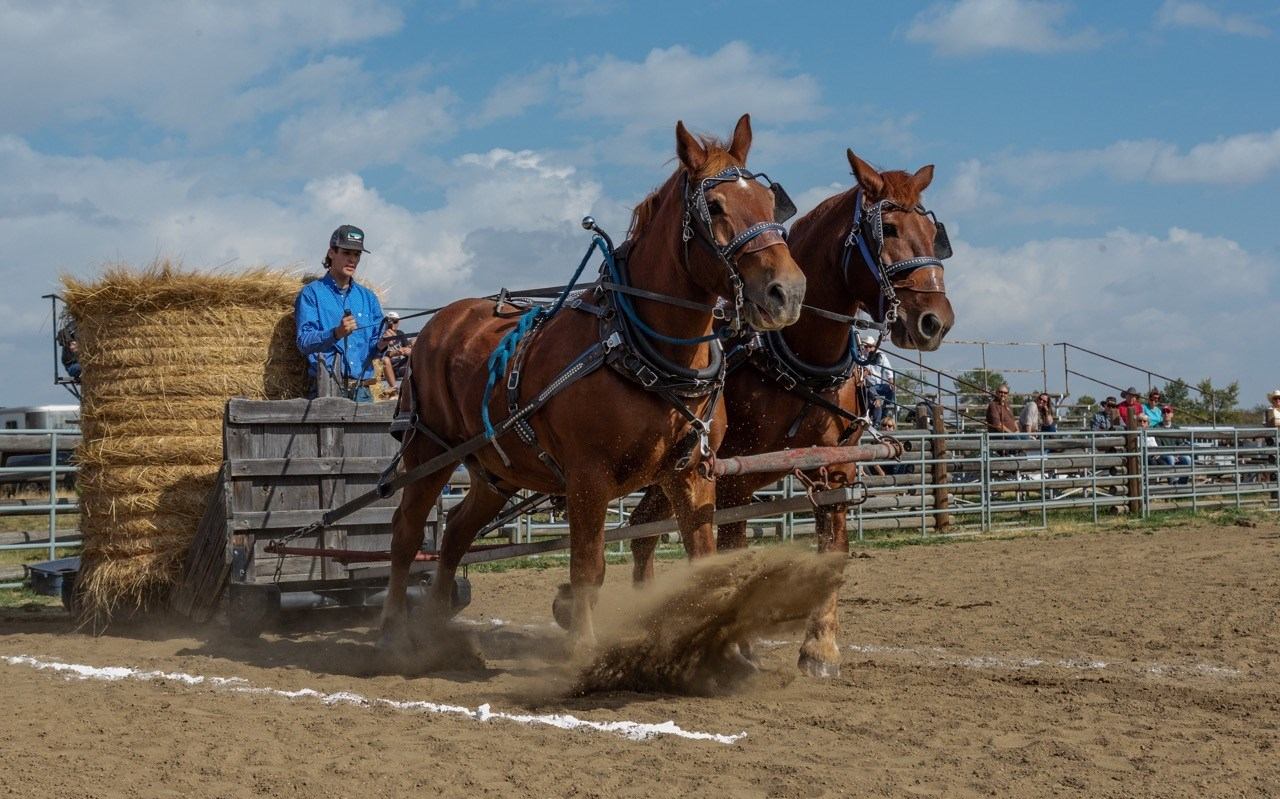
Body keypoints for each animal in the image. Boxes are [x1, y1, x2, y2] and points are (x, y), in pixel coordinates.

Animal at [381, 114, 808, 663]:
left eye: (771, 202)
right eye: (713, 207)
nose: (787, 292)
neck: (637, 350)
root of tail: (437, 324)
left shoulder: (690, 473)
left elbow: (703, 560)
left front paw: (723, 651)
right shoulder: (589, 478)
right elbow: (588, 567)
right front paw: (583, 649)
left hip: (496, 471)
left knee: (455, 533)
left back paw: (436, 628)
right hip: (429, 451)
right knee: (407, 532)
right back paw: (395, 631)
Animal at [626, 148, 956, 677]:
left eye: (933, 232)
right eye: (887, 230)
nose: (935, 322)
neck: (795, 355)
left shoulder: (836, 467)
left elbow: (831, 553)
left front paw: (820, 649)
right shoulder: (733, 476)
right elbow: (731, 551)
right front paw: (736, 645)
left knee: (641, 531)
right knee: (642, 532)